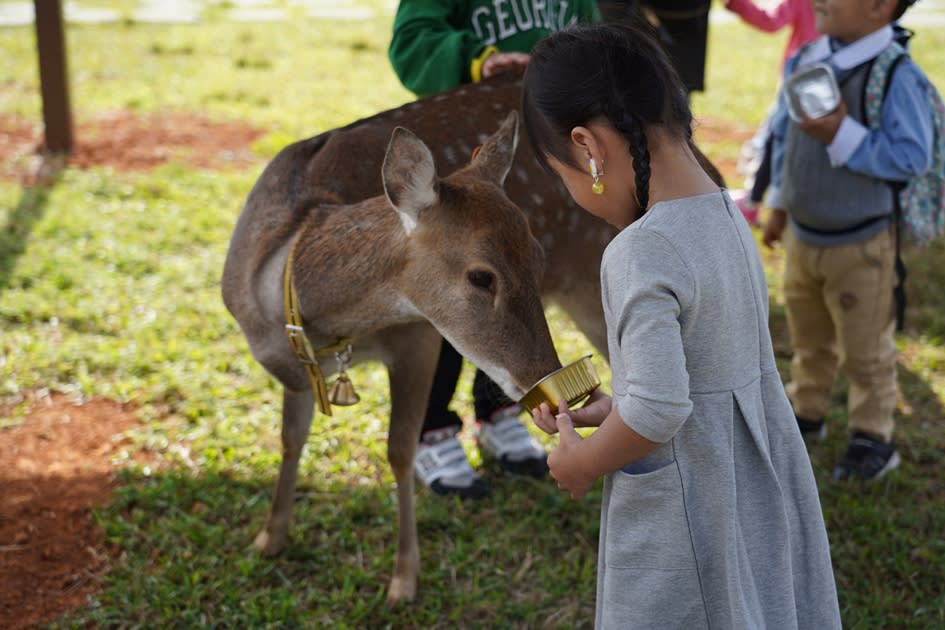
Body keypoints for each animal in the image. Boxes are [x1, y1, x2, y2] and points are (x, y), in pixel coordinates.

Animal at [221, 111, 560, 604]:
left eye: (538, 256)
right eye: (481, 276)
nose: (546, 379)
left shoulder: (418, 336)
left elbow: (399, 451)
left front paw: (403, 579)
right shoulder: (294, 370)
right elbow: (289, 438)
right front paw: (268, 539)